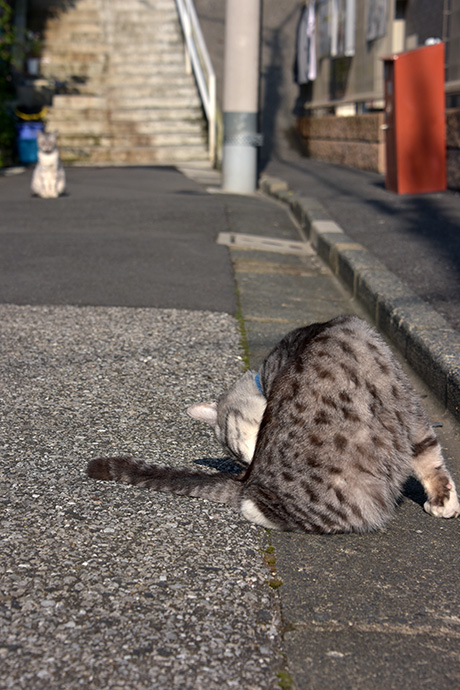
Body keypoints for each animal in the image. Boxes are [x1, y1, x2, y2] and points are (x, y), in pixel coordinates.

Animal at [86, 314, 460, 536]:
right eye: (236, 454)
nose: (246, 465)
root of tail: (248, 483)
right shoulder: (409, 406)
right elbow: (429, 455)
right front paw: (444, 500)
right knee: (255, 506)